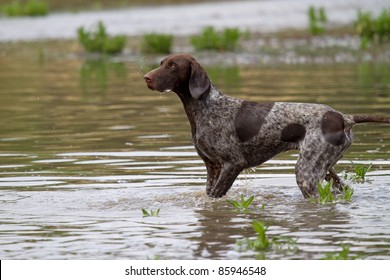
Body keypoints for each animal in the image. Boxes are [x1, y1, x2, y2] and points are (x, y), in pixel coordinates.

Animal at [144, 54, 390, 198]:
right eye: (161, 63)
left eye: (172, 65)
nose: (146, 77)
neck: (205, 107)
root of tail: (344, 117)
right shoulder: (212, 166)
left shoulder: (233, 164)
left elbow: (214, 197)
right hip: (324, 167)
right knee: (344, 190)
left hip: (307, 173)